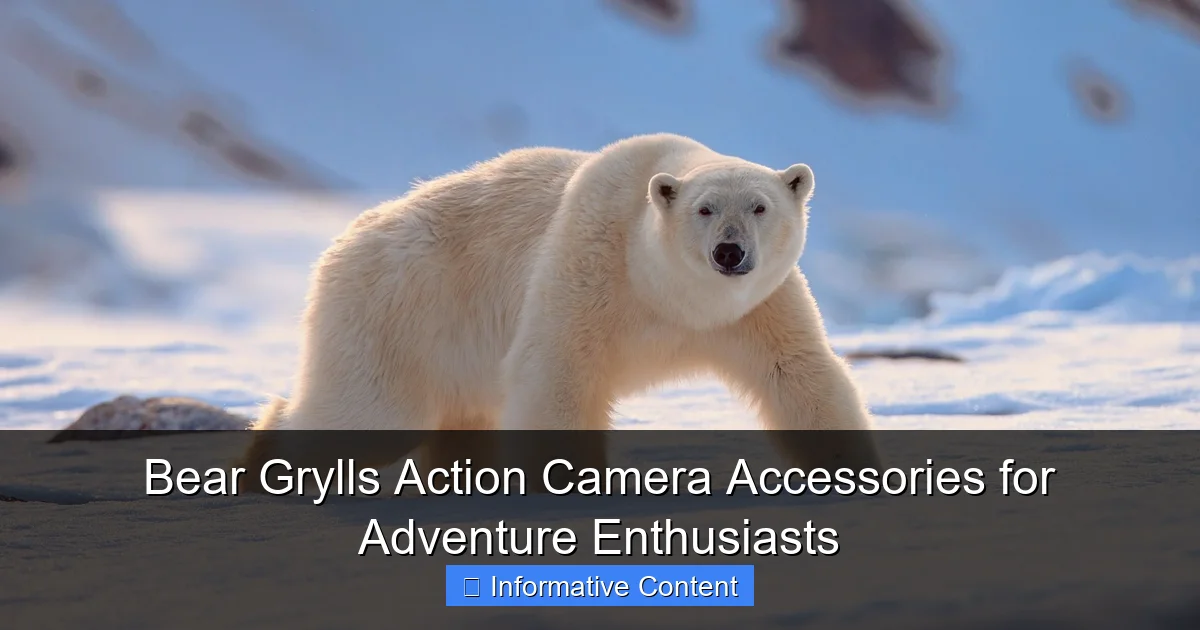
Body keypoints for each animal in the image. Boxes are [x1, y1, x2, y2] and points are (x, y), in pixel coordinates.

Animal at [239, 133, 880, 482]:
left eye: (759, 206)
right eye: (704, 208)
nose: (729, 252)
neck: (671, 295)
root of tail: (344, 241)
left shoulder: (756, 307)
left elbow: (799, 373)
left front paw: (854, 473)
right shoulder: (591, 264)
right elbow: (558, 371)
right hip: (398, 314)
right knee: (367, 412)